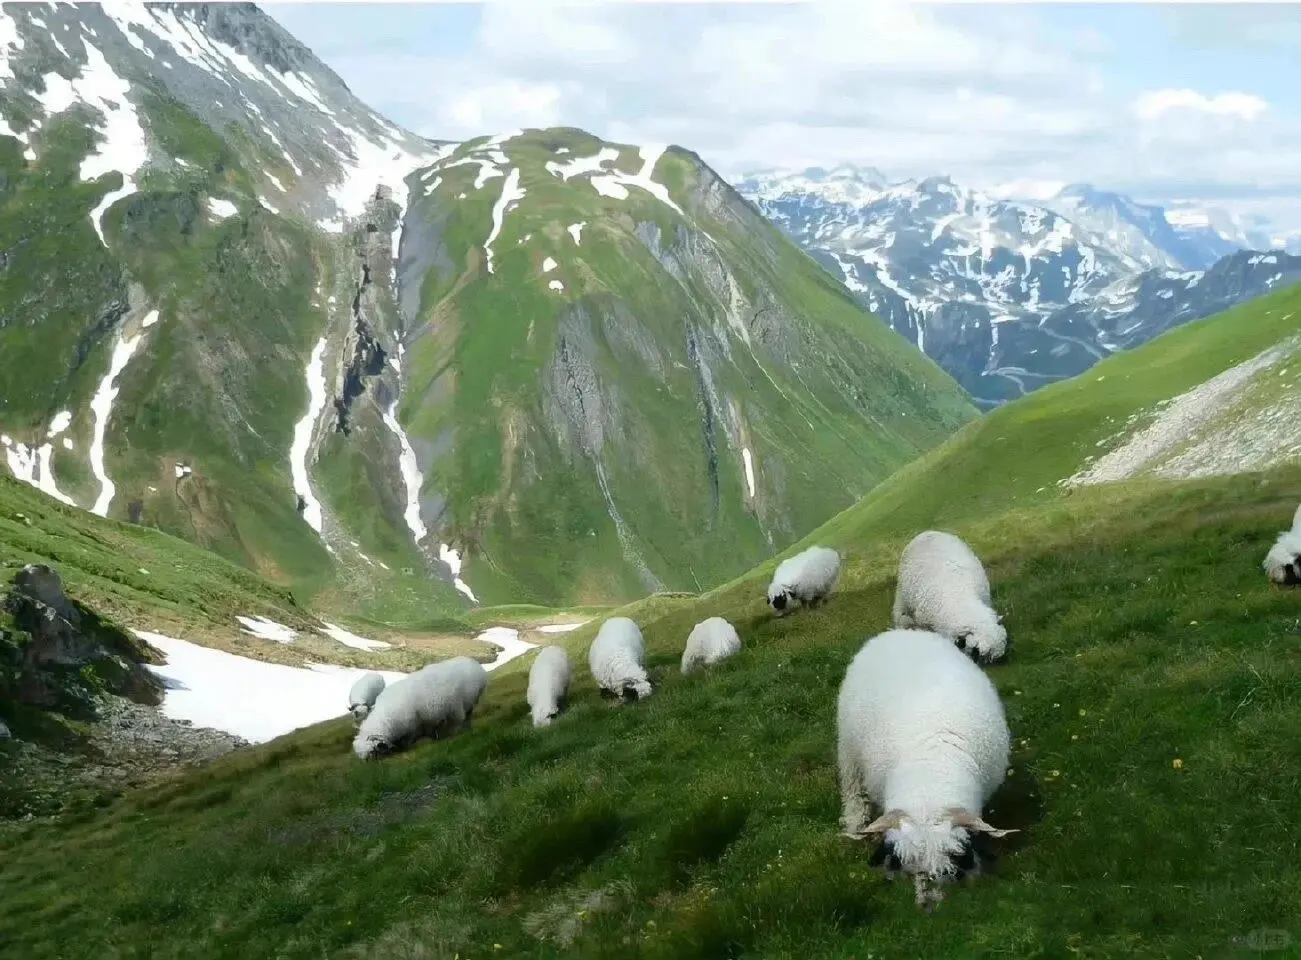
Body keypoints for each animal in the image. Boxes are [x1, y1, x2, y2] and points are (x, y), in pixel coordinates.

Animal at [351, 655, 489, 759]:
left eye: (373, 753)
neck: (387, 719)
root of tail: (471, 660)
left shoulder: (413, 726)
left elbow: (409, 741)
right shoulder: (425, 723)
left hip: (462, 705)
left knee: (464, 717)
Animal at [837, 624, 1019, 910]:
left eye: (951, 865)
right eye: (906, 868)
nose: (927, 908)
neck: (930, 778)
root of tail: (899, 632)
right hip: (848, 749)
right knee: (853, 790)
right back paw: (855, 823)